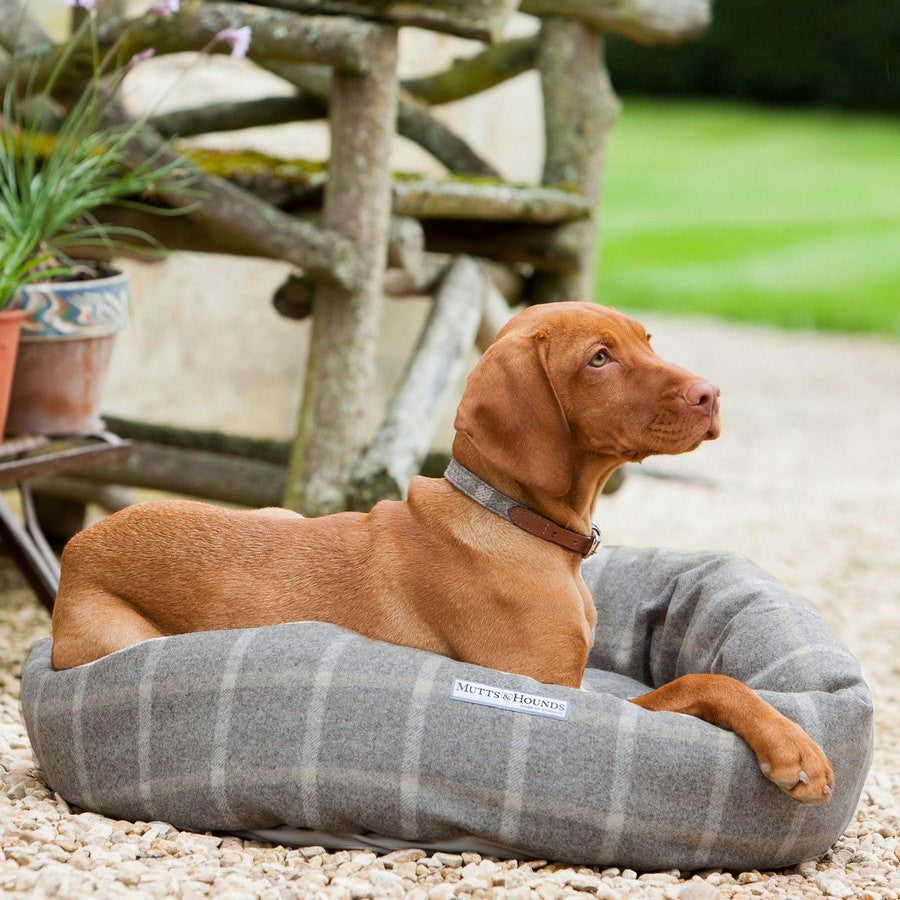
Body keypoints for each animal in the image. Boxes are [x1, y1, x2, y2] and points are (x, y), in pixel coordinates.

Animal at [52, 300, 832, 800]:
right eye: (599, 359)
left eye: (646, 339)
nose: (711, 394)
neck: (516, 522)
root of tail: (78, 547)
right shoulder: (555, 692)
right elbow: (707, 682)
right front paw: (796, 750)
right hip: (124, 640)